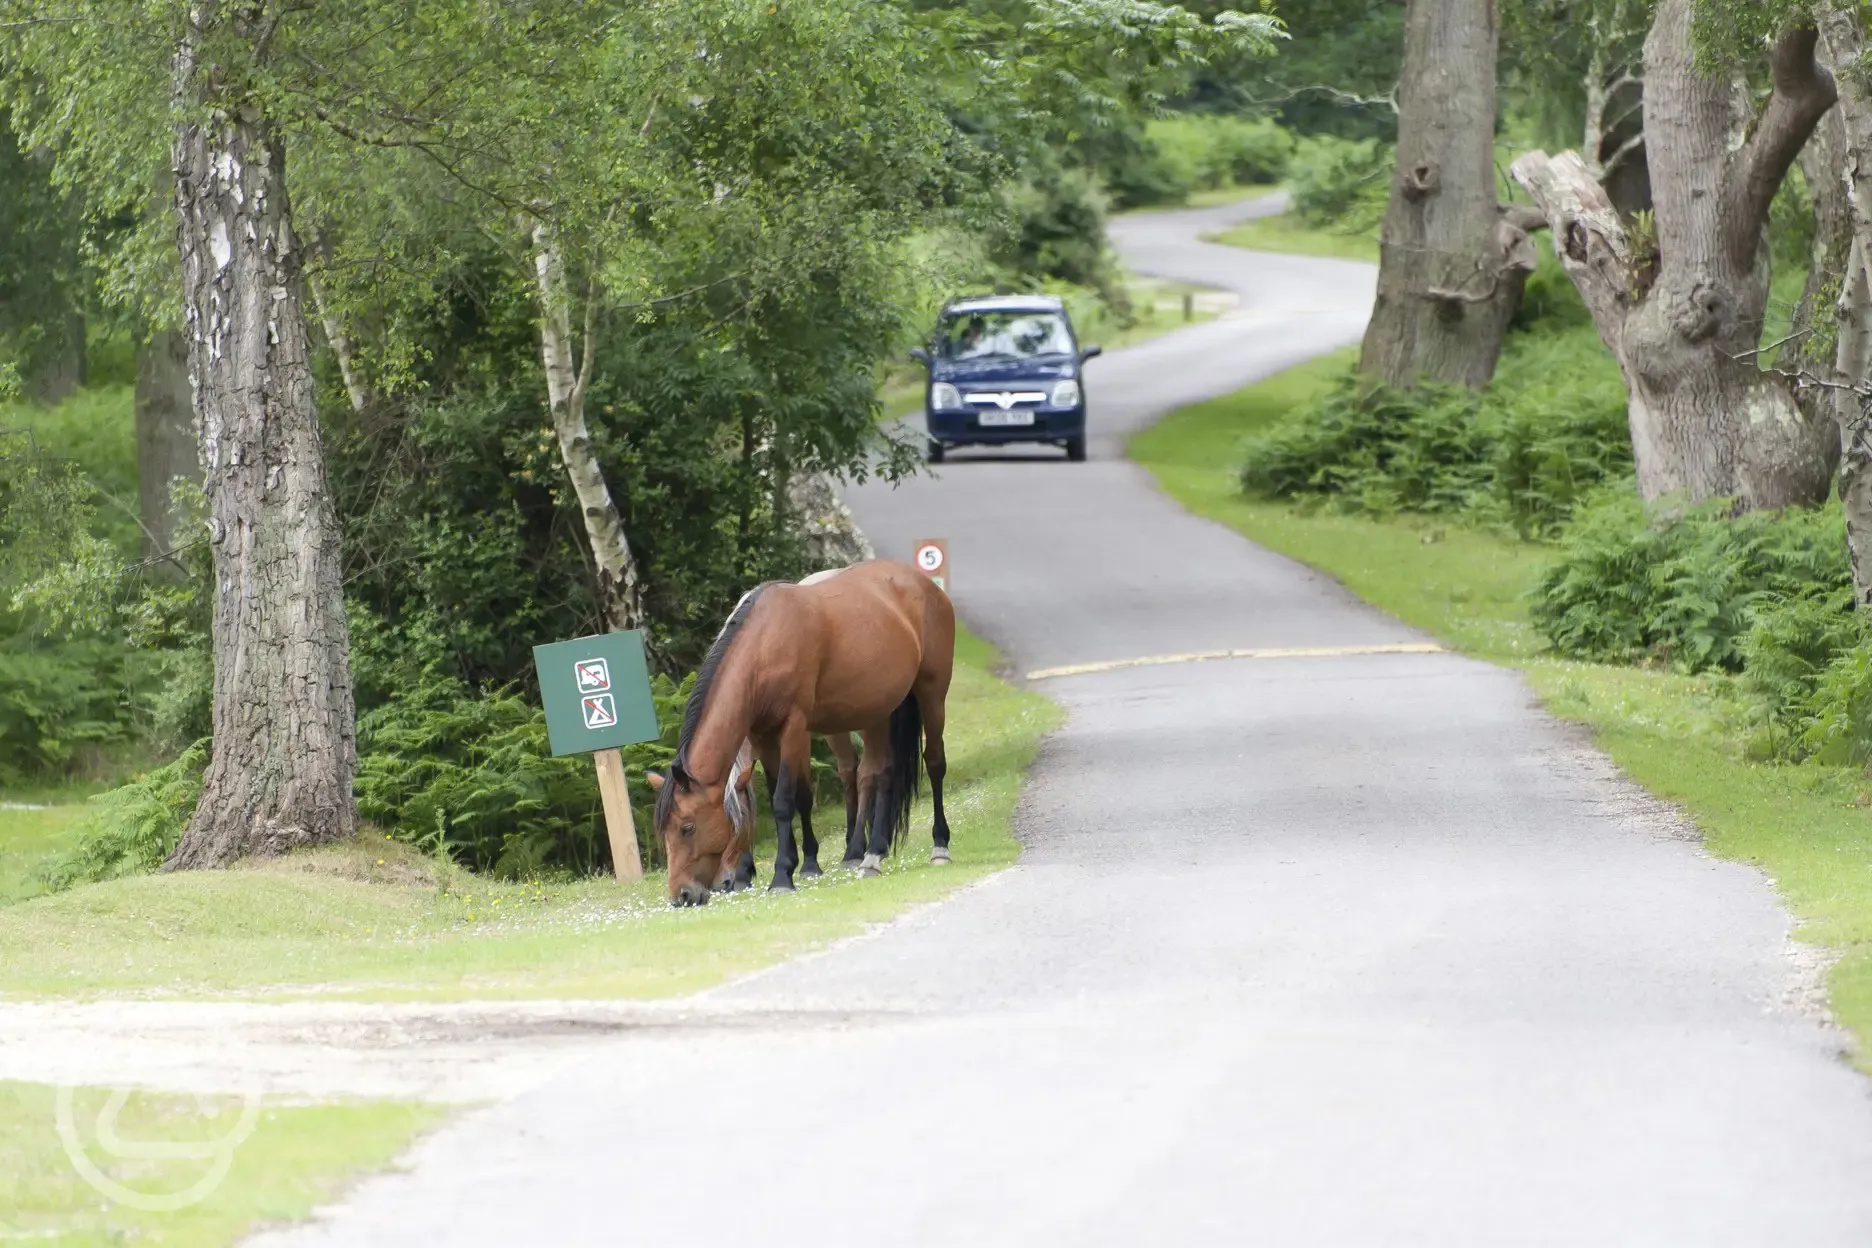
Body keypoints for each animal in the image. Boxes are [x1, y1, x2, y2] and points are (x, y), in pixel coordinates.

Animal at [651, 565, 958, 909]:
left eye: (687, 827)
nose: (682, 895)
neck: (764, 643)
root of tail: (924, 583)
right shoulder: (762, 737)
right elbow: (777, 797)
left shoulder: (794, 728)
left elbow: (786, 800)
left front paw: (783, 876)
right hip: (877, 711)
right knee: (879, 773)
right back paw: (872, 855)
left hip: (931, 694)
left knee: (933, 763)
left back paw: (937, 846)